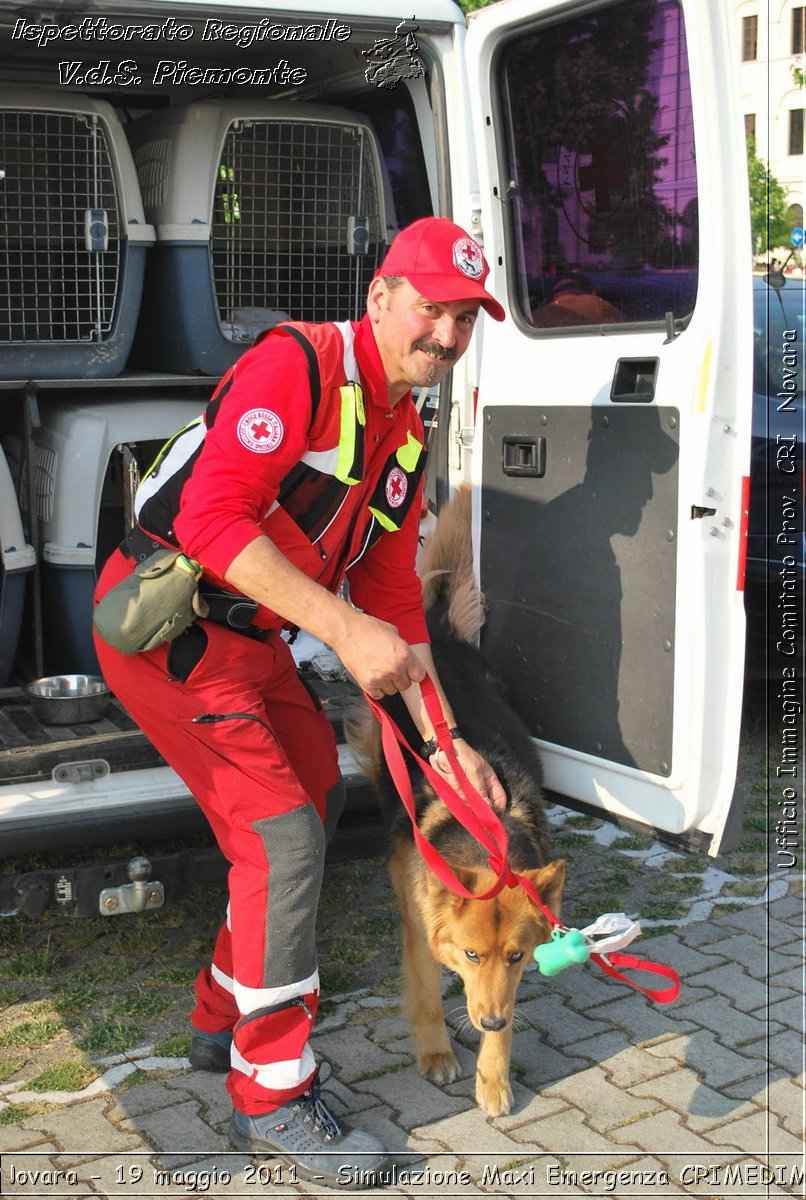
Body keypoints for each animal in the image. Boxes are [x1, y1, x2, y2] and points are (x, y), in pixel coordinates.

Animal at [350, 484, 563, 1113]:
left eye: (516, 956)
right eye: (470, 955)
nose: (489, 1022)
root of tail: (439, 639)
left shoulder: (508, 983)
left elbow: (507, 1021)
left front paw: (493, 1078)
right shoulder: (422, 932)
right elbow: (425, 994)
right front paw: (437, 1055)